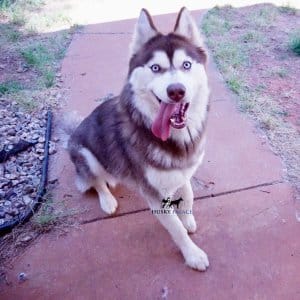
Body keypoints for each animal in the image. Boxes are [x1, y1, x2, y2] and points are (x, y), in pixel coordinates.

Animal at [67, 7, 210, 270]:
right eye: (155, 68)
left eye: (186, 65)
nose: (176, 91)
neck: (172, 140)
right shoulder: (155, 196)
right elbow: (176, 230)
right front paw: (192, 254)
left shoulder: (183, 170)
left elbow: (188, 193)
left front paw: (188, 218)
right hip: (85, 153)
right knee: (96, 181)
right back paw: (107, 200)